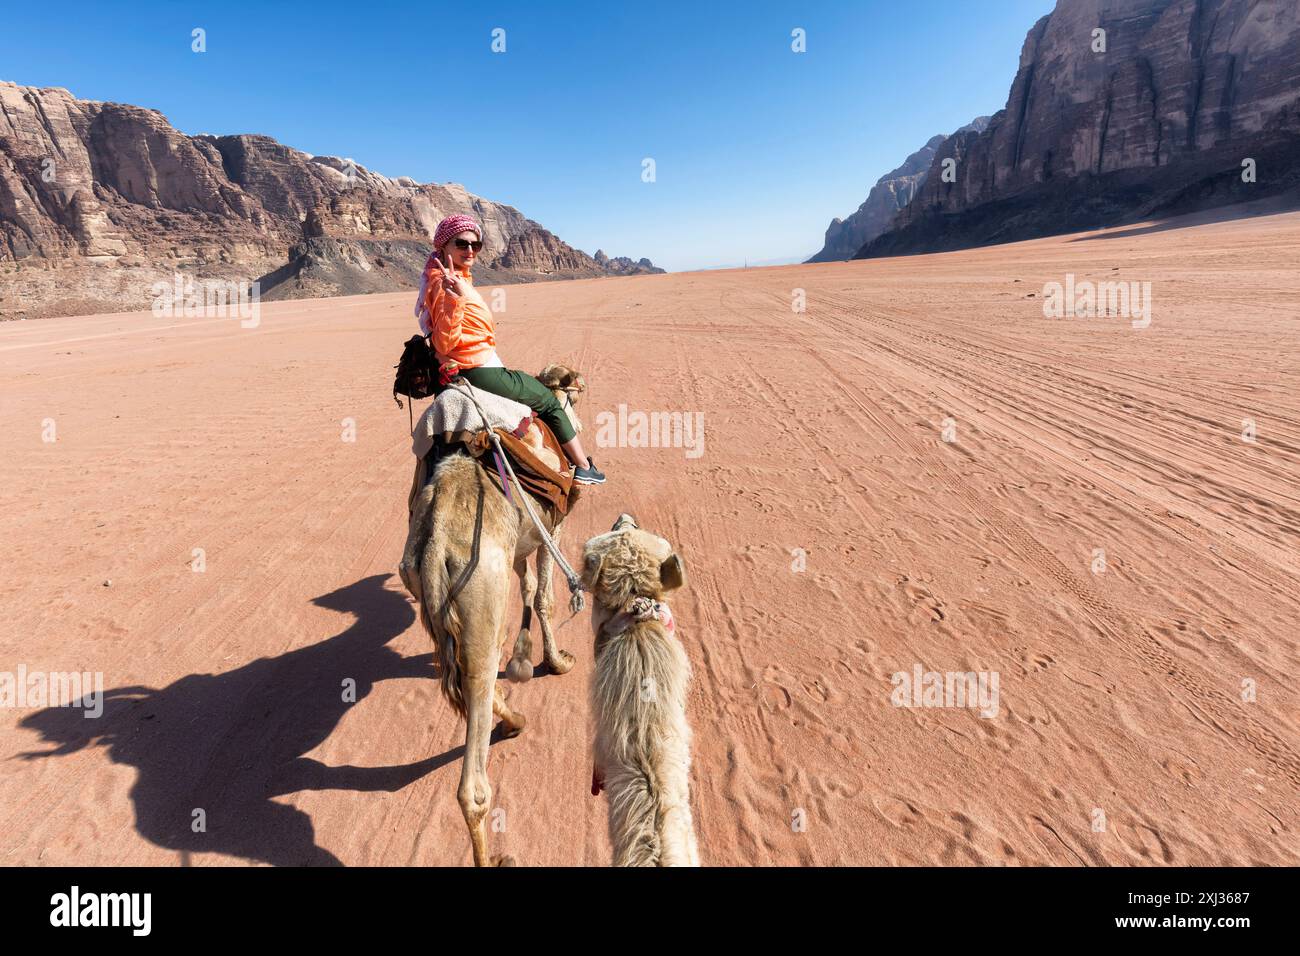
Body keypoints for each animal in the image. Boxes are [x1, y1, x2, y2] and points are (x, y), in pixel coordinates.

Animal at [392, 364, 582, 868]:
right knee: (472, 785)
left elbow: (529, 586)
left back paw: (514, 719)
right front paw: (556, 661)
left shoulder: (520, 542)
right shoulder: (551, 527)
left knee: (475, 671)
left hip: (436, 594)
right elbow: (545, 596)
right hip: (481, 591)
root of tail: (438, 543)